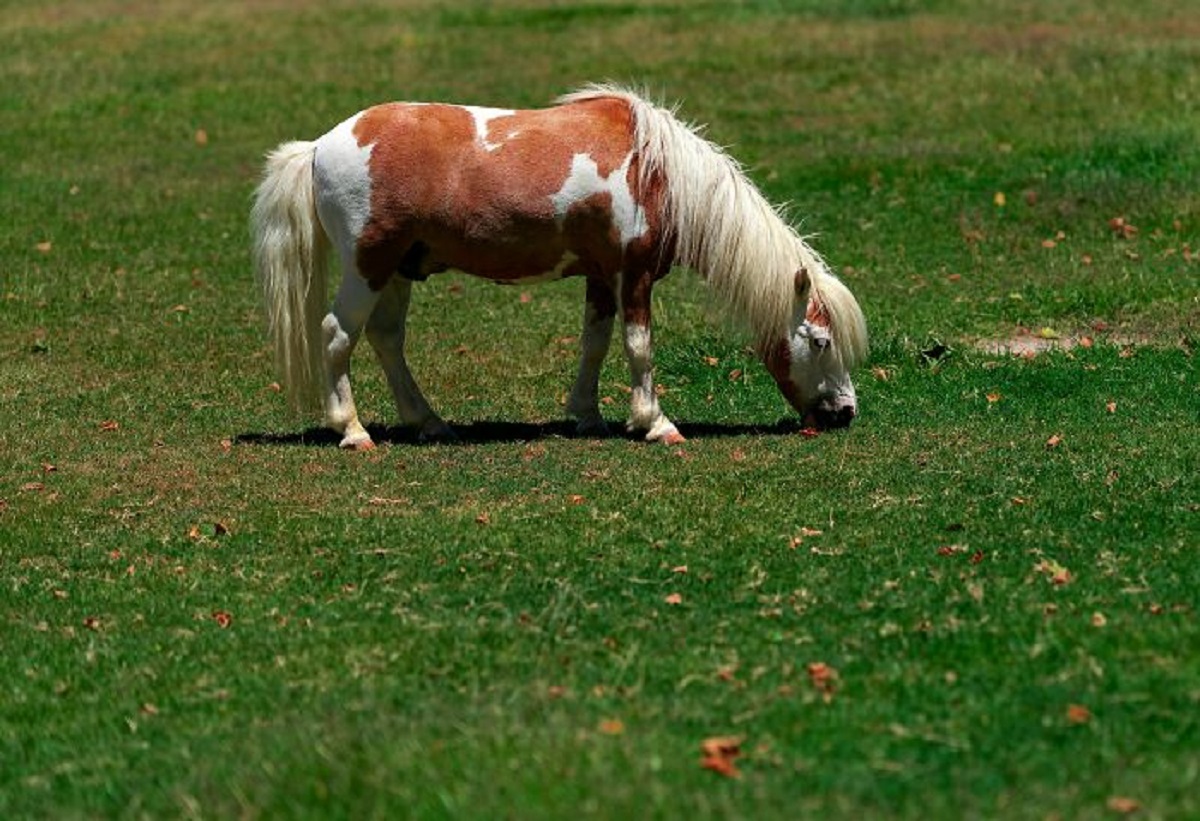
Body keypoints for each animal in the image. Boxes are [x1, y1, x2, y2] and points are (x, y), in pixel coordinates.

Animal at [255, 83, 864, 448]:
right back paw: (353, 431)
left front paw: (588, 416)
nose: (846, 412)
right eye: (819, 341)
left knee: (385, 339)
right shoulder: (635, 275)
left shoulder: (601, 276)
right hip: (369, 266)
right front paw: (656, 423)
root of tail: (319, 146)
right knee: (337, 335)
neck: (656, 172)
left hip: (399, 270)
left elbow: (594, 343)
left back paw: (428, 422)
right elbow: (639, 346)